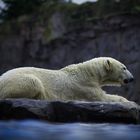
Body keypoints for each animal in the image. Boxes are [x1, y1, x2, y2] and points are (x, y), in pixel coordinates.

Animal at [0, 57, 134, 101]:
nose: (132, 78)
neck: (88, 73)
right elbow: (103, 97)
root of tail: (1, 78)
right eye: (124, 68)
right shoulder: (85, 87)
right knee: (34, 82)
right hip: (19, 80)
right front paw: (129, 102)